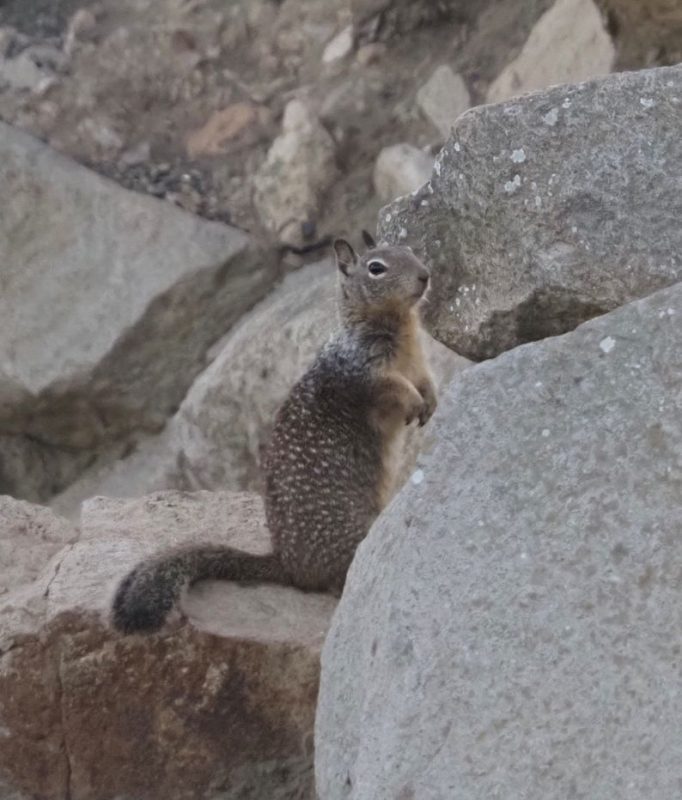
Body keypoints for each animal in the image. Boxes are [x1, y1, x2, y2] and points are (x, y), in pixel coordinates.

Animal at [109, 228, 432, 636]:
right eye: (376, 268)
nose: (425, 276)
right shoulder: (367, 374)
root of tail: (285, 563)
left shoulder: (418, 361)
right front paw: (416, 403)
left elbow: (426, 381)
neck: (400, 326)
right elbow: (396, 389)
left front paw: (431, 402)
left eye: (409, 249)